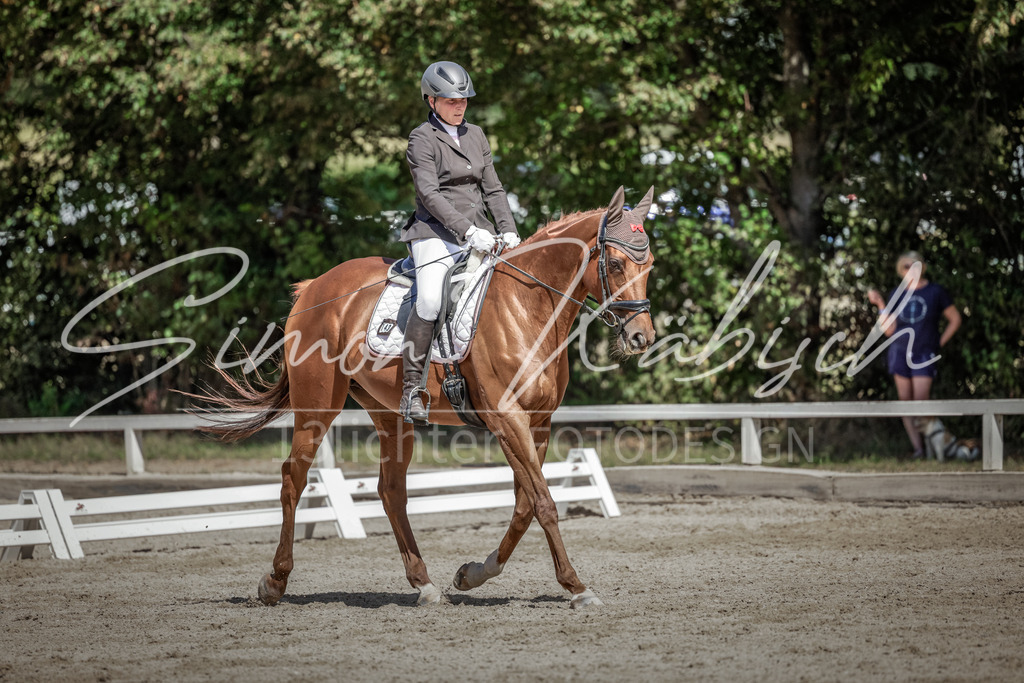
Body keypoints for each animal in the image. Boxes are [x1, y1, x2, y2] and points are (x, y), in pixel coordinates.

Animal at [200, 185, 656, 609]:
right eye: (616, 263)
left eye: (649, 264)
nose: (642, 338)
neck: (528, 307)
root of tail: (315, 286)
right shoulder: (506, 419)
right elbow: (543, 502)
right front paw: (576, 587)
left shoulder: (538, 423)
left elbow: (525, 505)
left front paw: (473, 574)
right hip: (317, 406)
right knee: (293, 478)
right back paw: (275, 582)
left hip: (389, 412)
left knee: (391, 491)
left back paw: (424, 584)